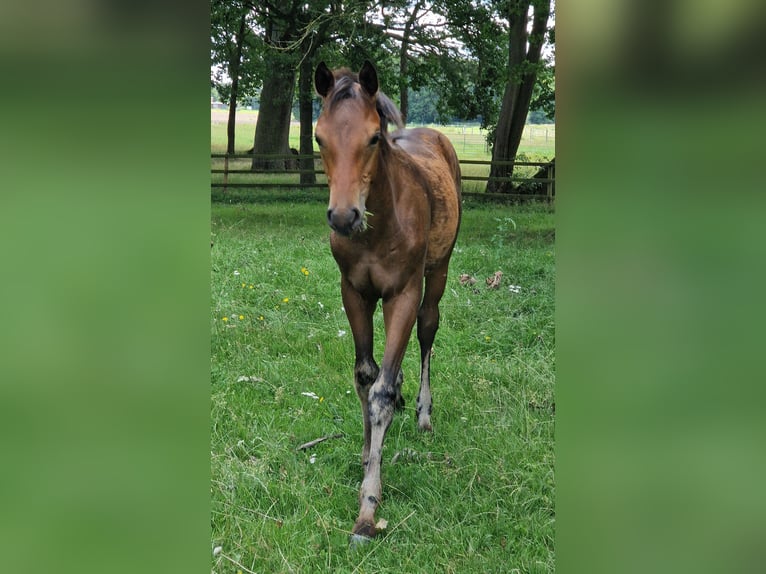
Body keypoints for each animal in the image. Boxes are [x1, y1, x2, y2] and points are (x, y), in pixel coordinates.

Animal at [314, 60, 462, 544]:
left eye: (374, 138)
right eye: (319, 138)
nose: (344, 217)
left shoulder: (402, 294)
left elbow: (379, 391)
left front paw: (367, 508)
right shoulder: (354, 293)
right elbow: (365, 375)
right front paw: (365, 455)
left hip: (437, 272)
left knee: (427, 330)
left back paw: (421, 412)